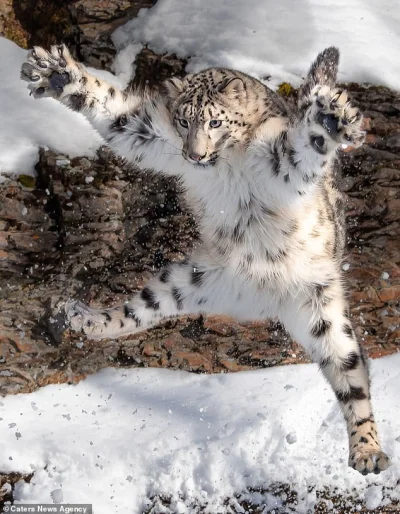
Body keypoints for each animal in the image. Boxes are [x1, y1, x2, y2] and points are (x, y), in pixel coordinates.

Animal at [21, 44, 390, 472]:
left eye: (215, 121)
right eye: (184, 121)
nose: (194, 155)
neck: (226, 165)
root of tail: (262, 301)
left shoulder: (281, 160)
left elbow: (304, 145)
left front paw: (331, 118)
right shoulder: (150, 134)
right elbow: (116, 114)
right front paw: (58, 74)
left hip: (323, 309)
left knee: (351, 377)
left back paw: (368, 451)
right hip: (189, 279)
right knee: (136, 313)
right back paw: (82, 318)